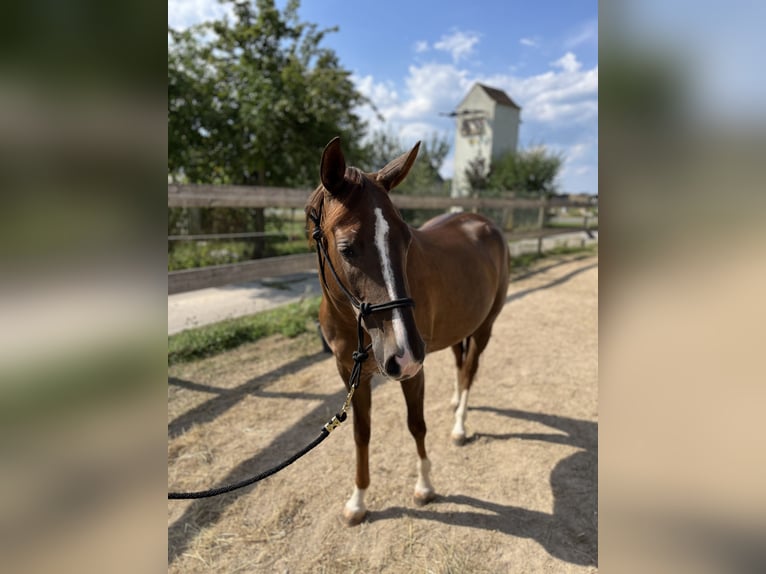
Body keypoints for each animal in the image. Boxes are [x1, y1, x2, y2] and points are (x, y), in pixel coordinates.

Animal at [306, 136, 510, 528]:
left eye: (406, 239)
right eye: (346, 248)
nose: (404, 352)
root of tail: (483, 222)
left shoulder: (413, 373)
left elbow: (417, 425)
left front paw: (425, 486)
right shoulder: (351, 374)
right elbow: (361, 434)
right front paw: (358, 501)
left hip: (485, 327)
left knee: (470, 370)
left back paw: (459, 426)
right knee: (461, 364)